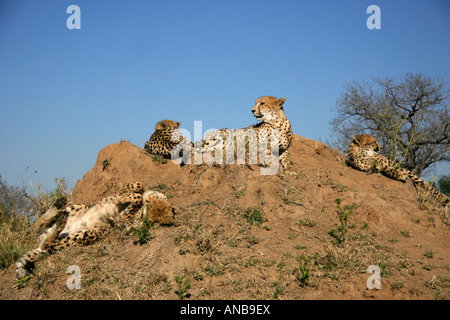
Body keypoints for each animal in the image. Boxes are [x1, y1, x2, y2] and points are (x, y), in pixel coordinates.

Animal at [14, 181, 176, 278]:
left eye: (156, 211)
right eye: (156, 203)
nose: (149, 203)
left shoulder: (121, 220)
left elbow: (135, 200)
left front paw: (128, 198)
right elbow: (136, 187)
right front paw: (128, 193)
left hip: (89, 234)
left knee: (48, 243)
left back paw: (59, 224)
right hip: (80, 207)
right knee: (39, 226)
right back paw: (58, 207)